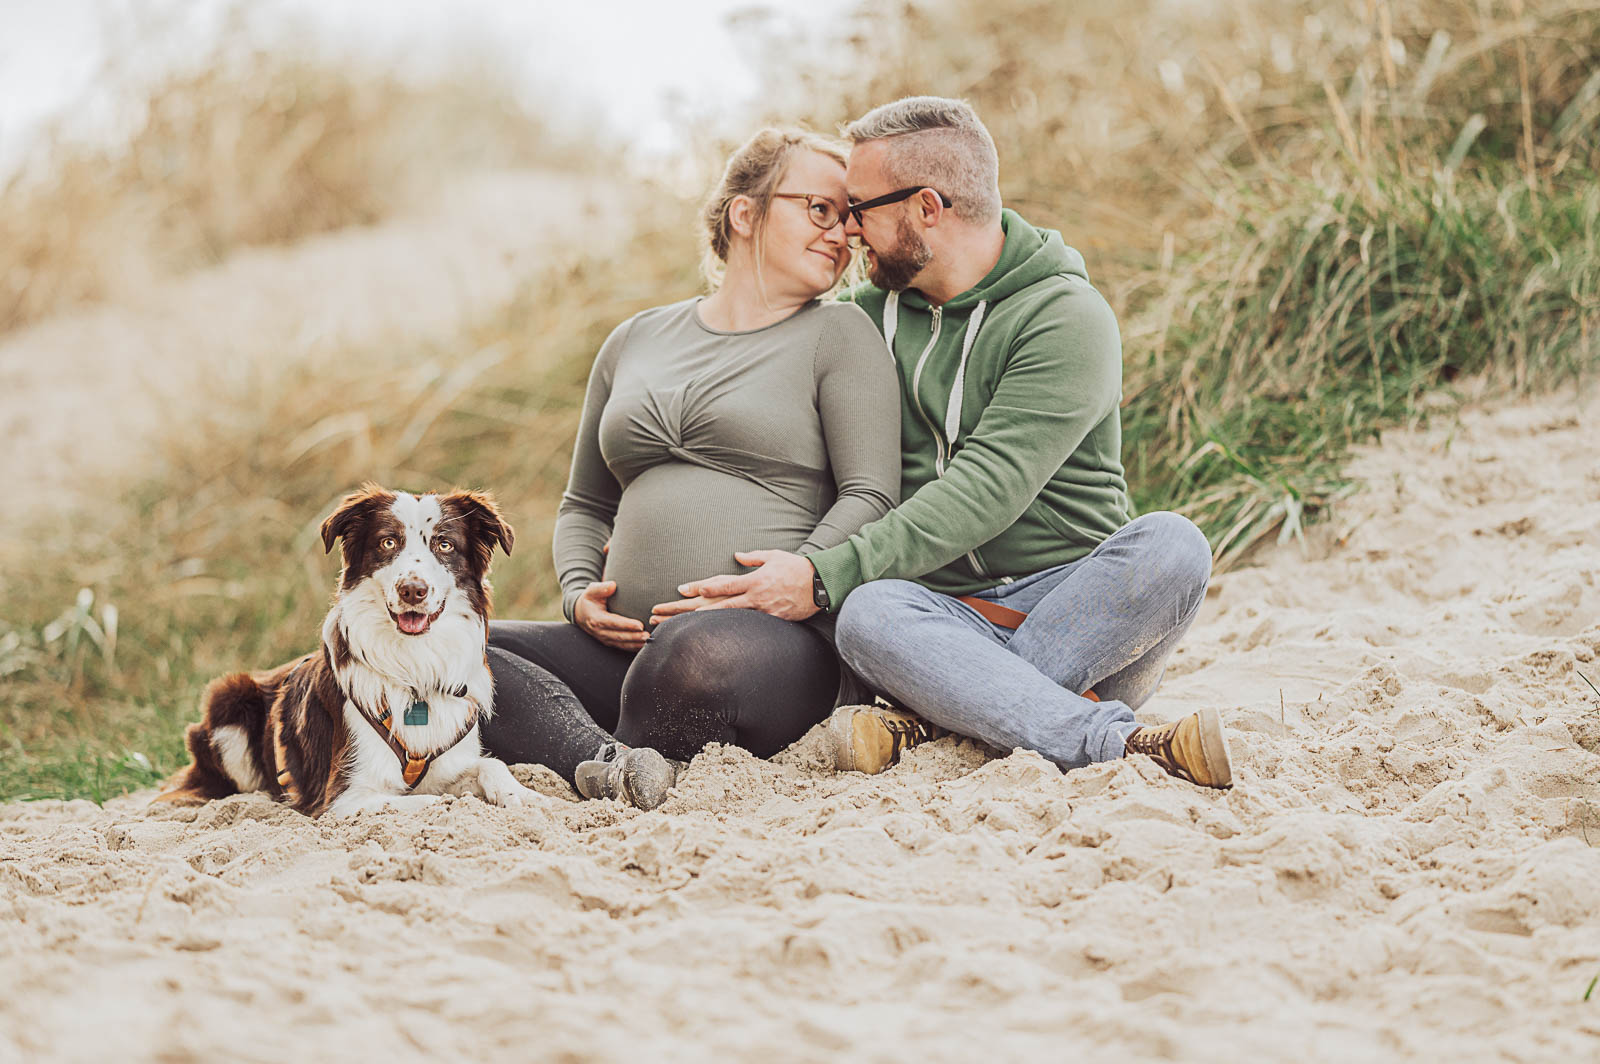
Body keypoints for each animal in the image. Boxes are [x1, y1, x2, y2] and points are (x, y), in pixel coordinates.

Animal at [156, 486, 534, 816]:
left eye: (445, 544)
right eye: (388, 542)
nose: (413, 590)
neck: (413, 670)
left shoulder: (449, 760)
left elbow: (489, 764)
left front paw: (520, 793)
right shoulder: (343, 796)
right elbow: (428, 801)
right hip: (229, 699)